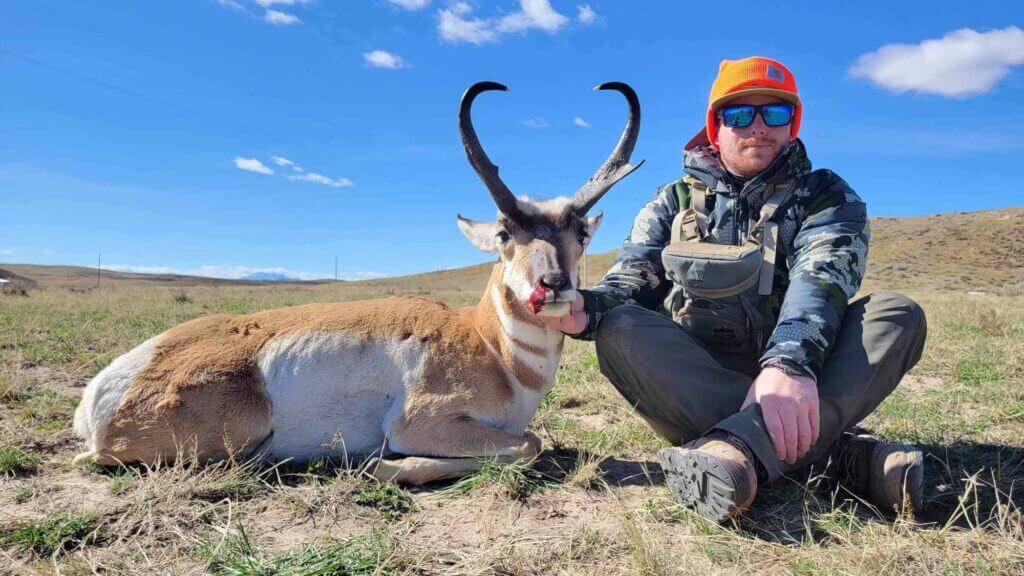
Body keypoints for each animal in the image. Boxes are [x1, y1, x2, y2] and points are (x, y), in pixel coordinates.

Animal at [73, 81, 642, 485]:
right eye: (504, 233)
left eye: (580, 236)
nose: (553, 284)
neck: (488, 343)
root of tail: (107, 387)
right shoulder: (420, 421)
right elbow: (529, 445)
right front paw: (384, 466)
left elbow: (530, 442)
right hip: (240, 429)